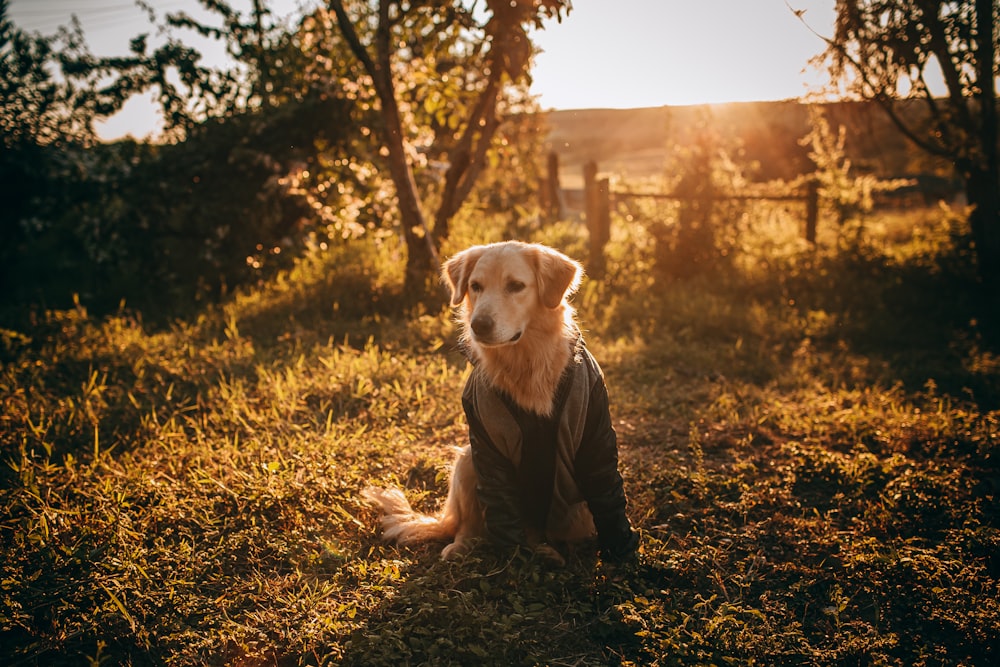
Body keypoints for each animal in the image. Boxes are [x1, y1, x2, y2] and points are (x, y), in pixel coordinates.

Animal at [364, 241, 636, 564]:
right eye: (475, 286)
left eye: (516, 286)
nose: (478, 325)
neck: (526, 361)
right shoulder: (486, 444)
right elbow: (502, 513)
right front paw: (515, 559)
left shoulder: (595, 435)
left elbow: (607, 491)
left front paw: (621, 548)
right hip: (467, 460)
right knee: (470, 525)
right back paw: (468, 546)